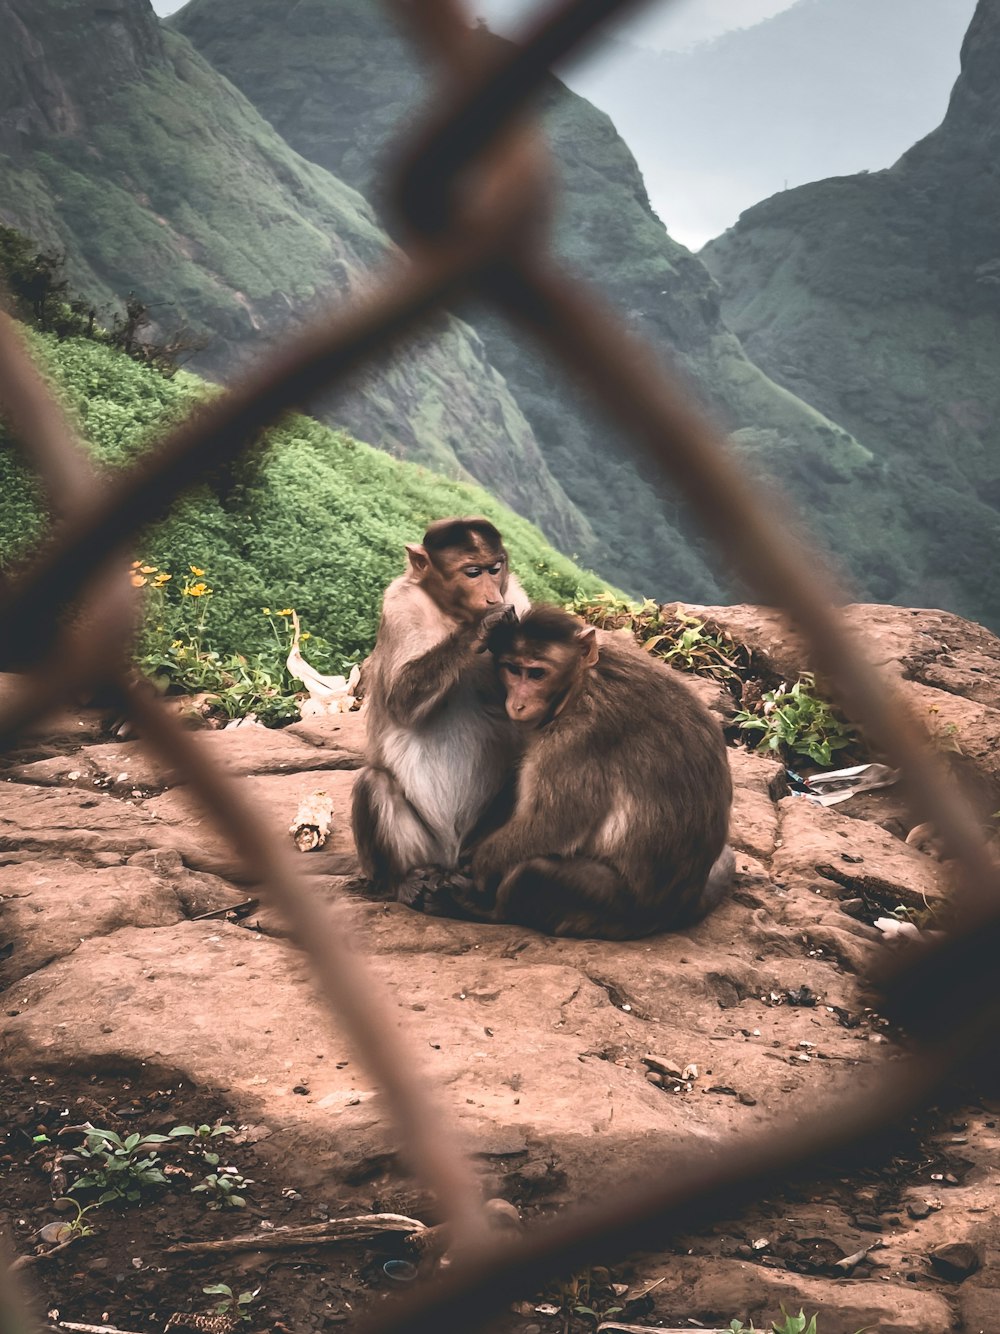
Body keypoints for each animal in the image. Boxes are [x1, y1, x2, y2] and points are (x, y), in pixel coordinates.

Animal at [352, 517, 533, 896]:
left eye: (495, 569)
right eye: (473, 572)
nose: (491, 596)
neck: (452, 613)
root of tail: (448, 857)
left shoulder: (518, 599)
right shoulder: (399, 603)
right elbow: (399, 698)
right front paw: (482, 627)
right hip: (422, 847)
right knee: (374, 783)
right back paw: (401, 882)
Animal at [469, 605, 736, 939]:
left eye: (537, 673)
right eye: (513, 669)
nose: (517, 704)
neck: (583, 682)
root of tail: (681, 907)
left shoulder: (575, 740)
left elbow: (553, 826)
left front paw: (475, 867)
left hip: (611, 908)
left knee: (533, 872)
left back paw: (486, 910)